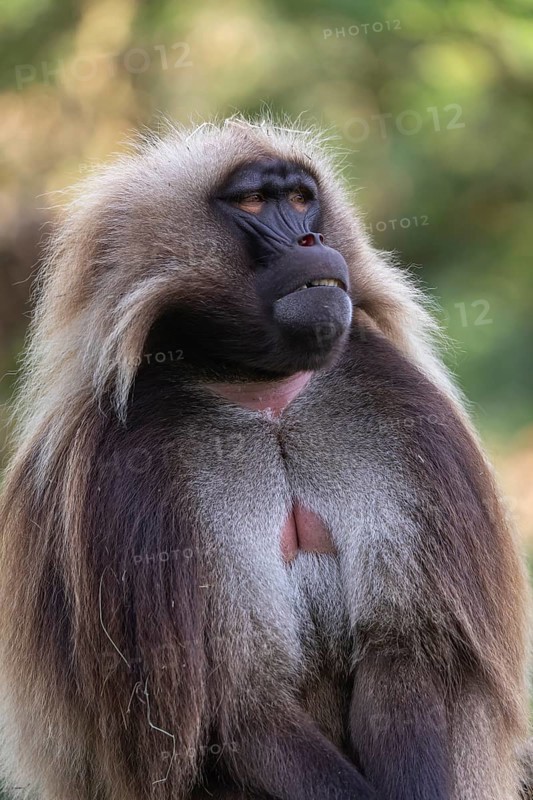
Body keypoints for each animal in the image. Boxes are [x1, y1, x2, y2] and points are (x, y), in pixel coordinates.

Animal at [0, 116, 529, 800]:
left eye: (301, 198)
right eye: (252, 202)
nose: (310, 239)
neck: (263, 393)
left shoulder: (388, 409)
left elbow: (409, 650)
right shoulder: (132, 472)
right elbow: (237, 710)